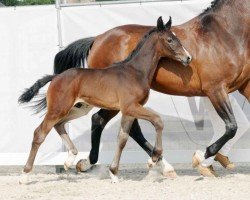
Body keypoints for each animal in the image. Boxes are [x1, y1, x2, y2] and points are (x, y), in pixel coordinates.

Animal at [19, 16, 191, 183]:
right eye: (170, 40)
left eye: (177, 38)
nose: (188, 57)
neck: (135, 71)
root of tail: (55, 77)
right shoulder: (131, 107)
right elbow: (158, 121)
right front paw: (153, 158)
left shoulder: (129, 111)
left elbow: (122, 139)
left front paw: (114, 173)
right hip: (58, 108)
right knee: (39, 133)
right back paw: (25, 175)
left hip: (76, 109)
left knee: (59, 124)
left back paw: (70, 159)